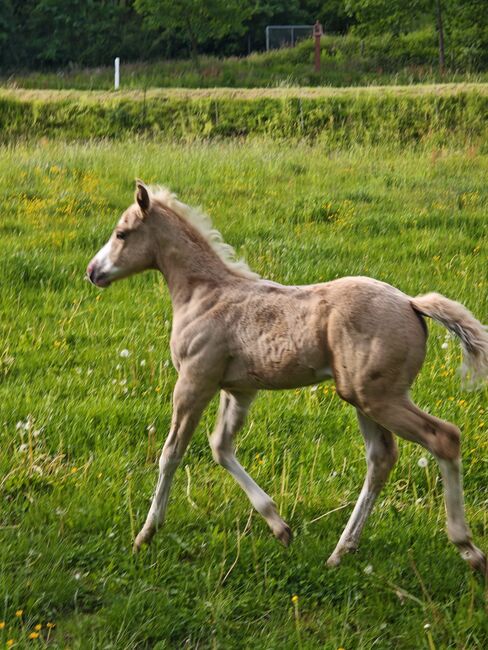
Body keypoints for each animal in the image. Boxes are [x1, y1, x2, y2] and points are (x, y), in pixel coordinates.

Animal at [87, 180, 488, 575]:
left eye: (121, 233)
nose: (92, 271)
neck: (204, 294)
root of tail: (411, 302)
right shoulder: (239, 390)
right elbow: (221, 447)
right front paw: (280, 527)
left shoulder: (194, 381)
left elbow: (171, 453)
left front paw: (145, 534)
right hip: (362, 398)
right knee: (381, 458)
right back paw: (341, 551)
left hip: (380, 398)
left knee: (444, 437)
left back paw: (468, 549)